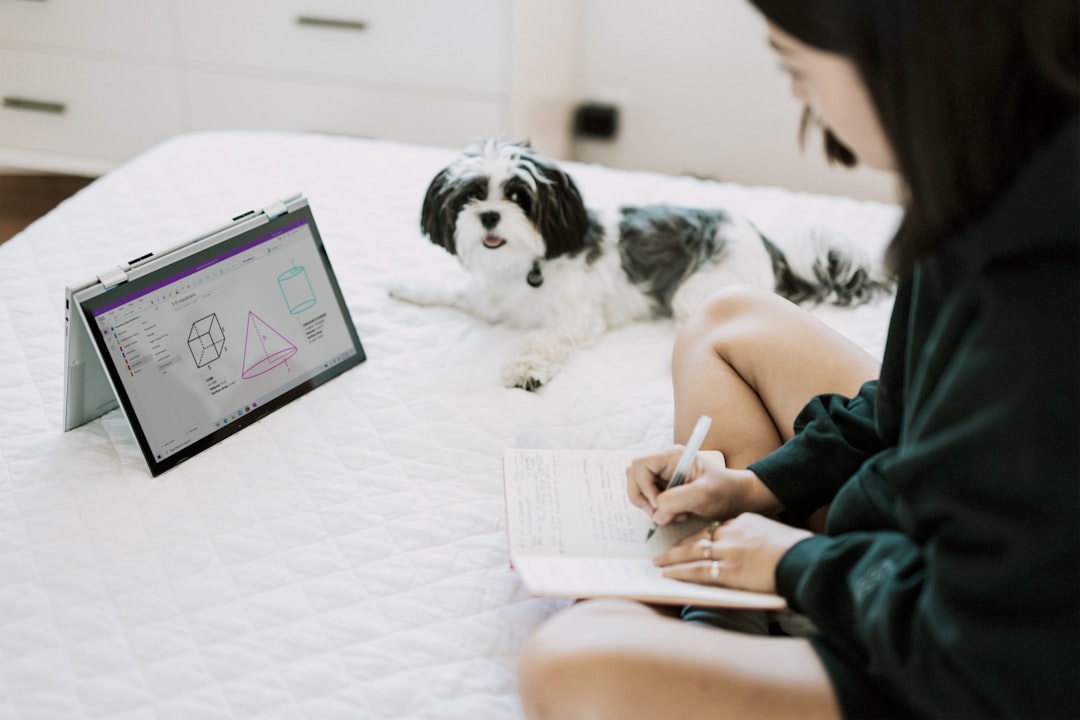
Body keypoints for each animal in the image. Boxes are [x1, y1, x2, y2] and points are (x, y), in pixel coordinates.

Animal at [388, 138, 885, 390]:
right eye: (471, 195)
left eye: (518, 197)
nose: (489, 215)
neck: (522, 267)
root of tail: (766, 243)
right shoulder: (488, 301)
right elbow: (451, 290)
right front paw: (406, 286)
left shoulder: (575, 317)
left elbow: (543, 338)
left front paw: (526, 369)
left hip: (698, 289)